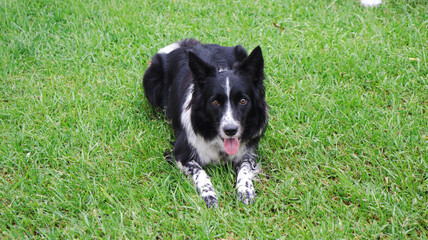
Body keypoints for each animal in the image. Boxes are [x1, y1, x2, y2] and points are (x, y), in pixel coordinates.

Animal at [144, 39, 268, 208]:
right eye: (215, 102)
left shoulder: (248, 152)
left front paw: (246, 190)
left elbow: (245, 169)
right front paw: (209, 194)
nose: (230, 130)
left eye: (243, 100)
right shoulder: (180, 153)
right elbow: (200, 172)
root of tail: (186, 44)